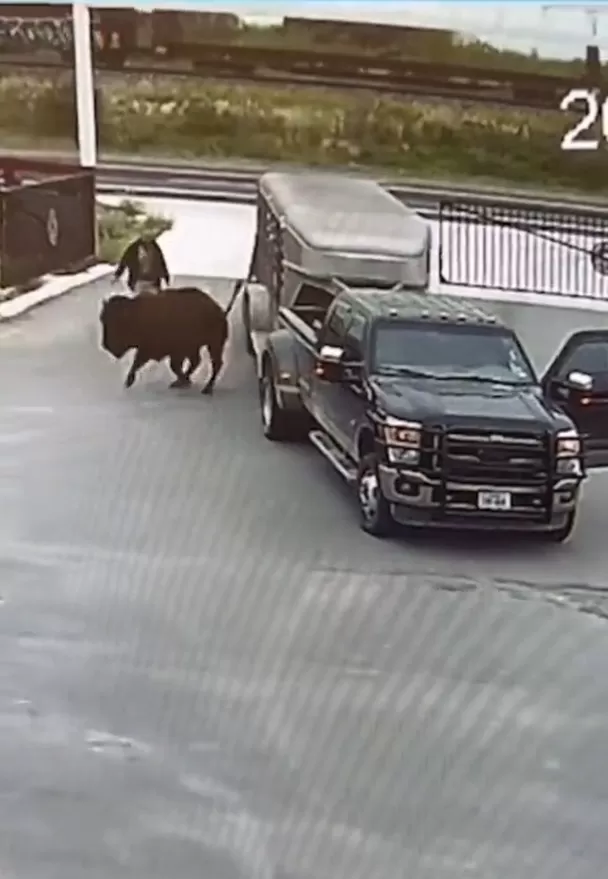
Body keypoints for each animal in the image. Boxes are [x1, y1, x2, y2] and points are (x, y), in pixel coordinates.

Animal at [100, 286, 228, 396]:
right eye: (103, 320)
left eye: (118, 323)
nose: (106, 345)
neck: (137, 315)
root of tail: (219, 311)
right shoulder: (153, 349)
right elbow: (138, 362)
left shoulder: (173, 351)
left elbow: (172, 366)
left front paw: (184, 381)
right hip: (198, 347)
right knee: (197, 361)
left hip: (214, 345)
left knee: (216, 364)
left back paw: (207, 388)